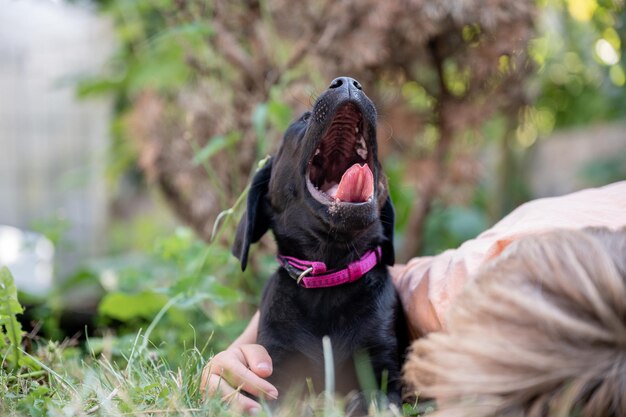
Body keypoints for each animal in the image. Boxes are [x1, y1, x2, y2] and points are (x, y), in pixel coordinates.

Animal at [232, 76, 402, 408]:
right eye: (304, 119)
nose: (348, 82)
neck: (329, 277)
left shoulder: (384, 368)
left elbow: (373, 400)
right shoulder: (275, 369)